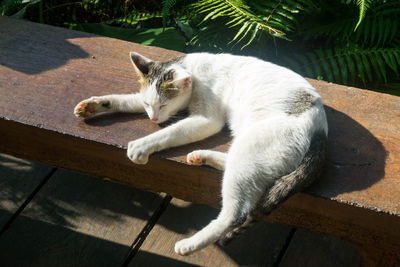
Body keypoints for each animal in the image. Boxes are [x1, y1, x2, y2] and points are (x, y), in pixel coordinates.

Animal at [74, 51, 328, 255]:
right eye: (148, 104)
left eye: (163, 105)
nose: (153, 119)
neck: (193, 69)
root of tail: (320, 131)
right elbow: (127, 100)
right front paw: (93, 105)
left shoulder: (207, 119)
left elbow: (169, 132)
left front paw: (141, 146)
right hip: (248, 149)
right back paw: (201, 156)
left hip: (251, 149)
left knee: (235, 214)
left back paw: (189, 244)